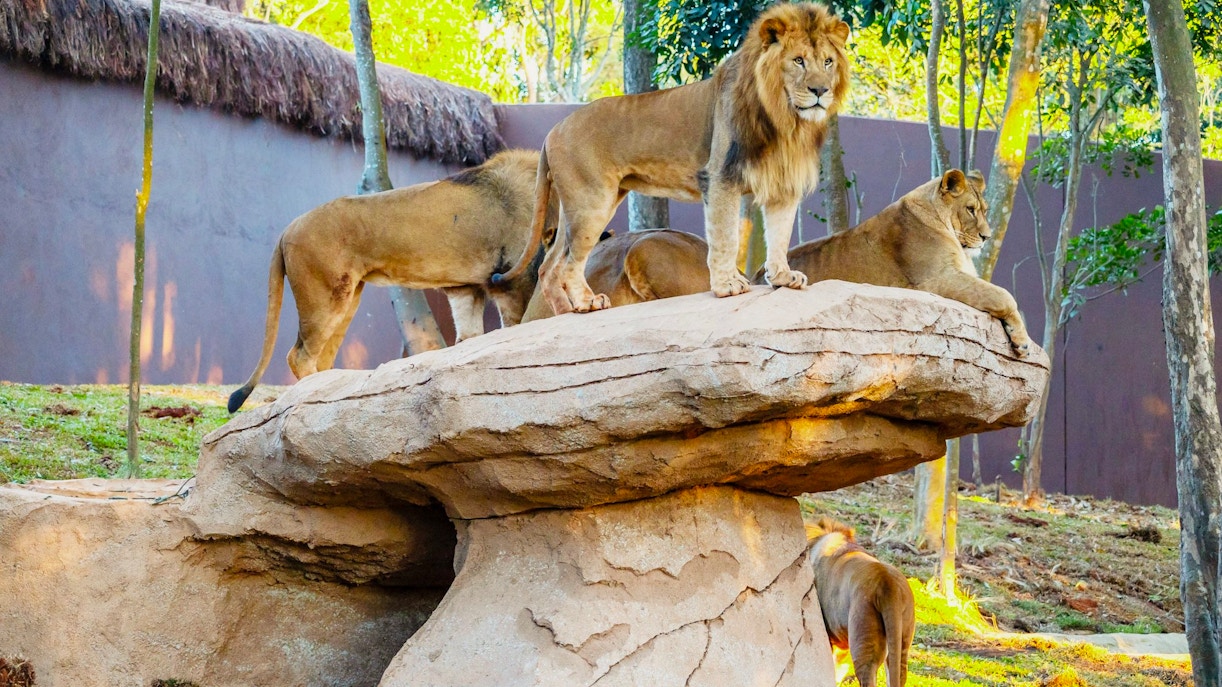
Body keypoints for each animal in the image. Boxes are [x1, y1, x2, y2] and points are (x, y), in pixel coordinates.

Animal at [227, 148, 557, 413]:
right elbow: (515, 331)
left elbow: (471, 340)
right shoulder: (512, 281)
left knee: (321, 358)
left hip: (348, 297)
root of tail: (287, 230)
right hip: (325, 298)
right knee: (299, 356)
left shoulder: (468, 288)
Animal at [492, 2, 850, 315]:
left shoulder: (781, 184)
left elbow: (779, 235)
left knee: (549, 266)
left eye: (828, 62)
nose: (820, 91)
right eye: (799, 60)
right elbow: (725, 237)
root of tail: (552, 130)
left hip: (576, 206)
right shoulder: (720, 176)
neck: (785, 119)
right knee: (568, 263)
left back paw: (566, 313)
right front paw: (727, 286)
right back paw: (587, 304)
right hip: (592, 202)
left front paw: (782, 278)